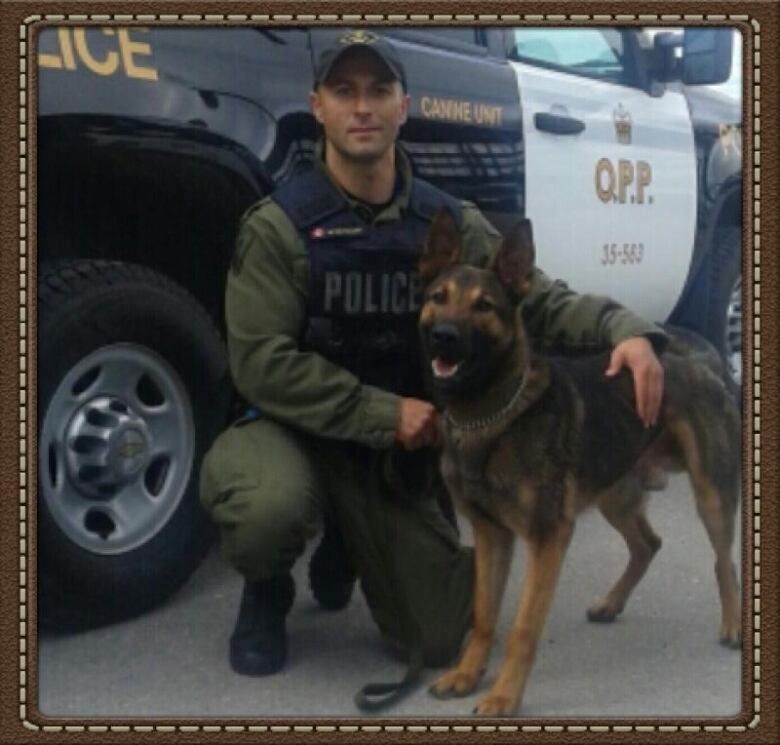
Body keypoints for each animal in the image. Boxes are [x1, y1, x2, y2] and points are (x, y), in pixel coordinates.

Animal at [418, 209, 740, 716]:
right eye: (438, 298)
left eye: (484, 306)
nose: (443, 339)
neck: (491, 414)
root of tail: (704, 357)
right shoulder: (492, 535)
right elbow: (484, 615)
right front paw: (468, 675)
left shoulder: (547, 537)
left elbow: (523, 629)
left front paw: (504, 696)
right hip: (615, 495)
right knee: (648, 544)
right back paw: (611, 602)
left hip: (710, 494)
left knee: (724, 562)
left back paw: (732, 624)